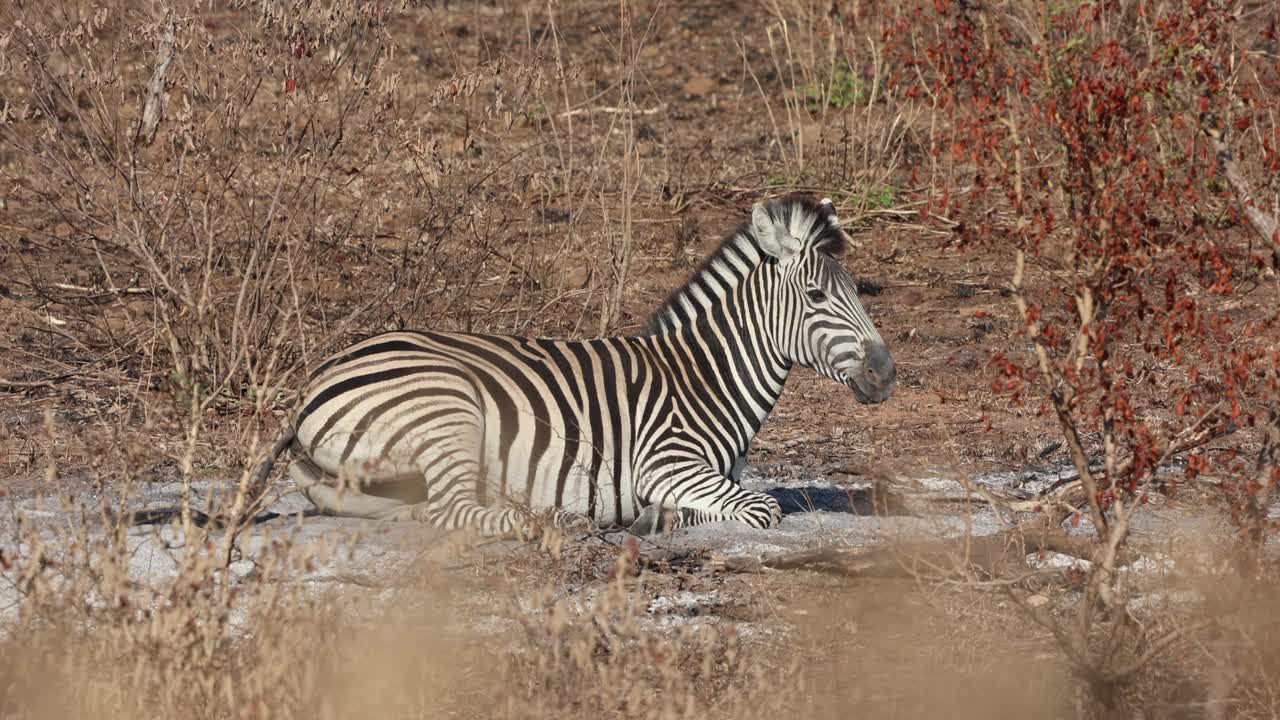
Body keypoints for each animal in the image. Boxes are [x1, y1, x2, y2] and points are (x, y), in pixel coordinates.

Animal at [249, 192, 890, 532]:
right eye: (816, 296)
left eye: (858, 290)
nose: (887, 374)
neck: (703, 378)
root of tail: (316, 379)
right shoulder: (665, 462)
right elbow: (762, 507)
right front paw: (654, 518)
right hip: (448, 408)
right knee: (455, 513)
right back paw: (558, 521)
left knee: (400, 506)